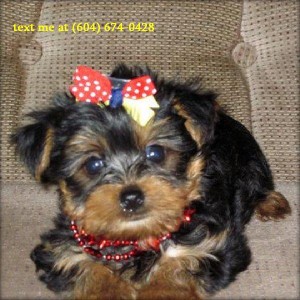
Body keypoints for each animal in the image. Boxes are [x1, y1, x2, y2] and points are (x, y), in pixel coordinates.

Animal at [12, 64, 290, 298]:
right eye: (93, 164)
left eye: (155, 152)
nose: (131, 196)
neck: (137, 235)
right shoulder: (59, 249)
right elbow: (86, 266)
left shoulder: (216, 243)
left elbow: (180, 265)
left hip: (252, 160)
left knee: (258, 184)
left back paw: (272, 203)